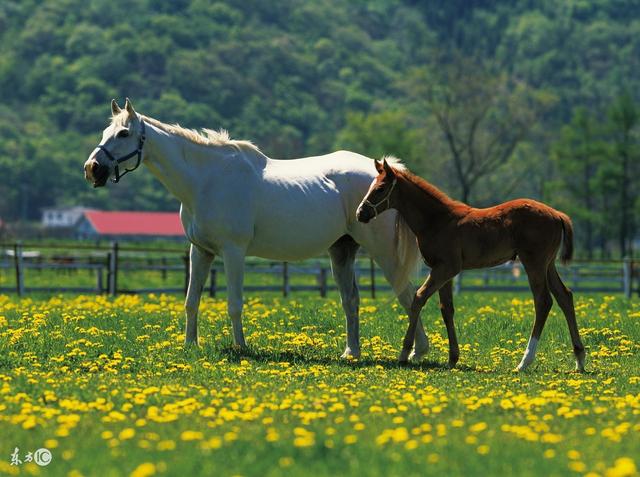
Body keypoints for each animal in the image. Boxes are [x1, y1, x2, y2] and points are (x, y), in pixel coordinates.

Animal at [81, 98, 430, 358]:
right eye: (106, 131)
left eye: (124, 134)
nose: (92, 169)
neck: (206, 180)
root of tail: (387, 176)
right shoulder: (201, 251)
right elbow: (191, 301)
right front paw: (190, 346)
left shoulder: (233, 252)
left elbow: (234, 304)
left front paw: (241, 347)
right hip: (341, 252)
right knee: (352, 300)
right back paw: (351, 353)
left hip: (384, 253)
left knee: (408, 295)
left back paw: (417, 352)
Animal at [356, 158, 584, 370]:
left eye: (380, 188)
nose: (360, 213)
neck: (437, 220)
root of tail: (557, 214)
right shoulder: (443, 271)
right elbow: (446, 308)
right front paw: (452, 357)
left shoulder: (446, 268)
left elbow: (418, 298)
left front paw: (406, 353)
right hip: (548, 265)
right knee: (565, 297)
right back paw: (579, 359)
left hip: (534, 263)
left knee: (543, 301)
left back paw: (525, 361)